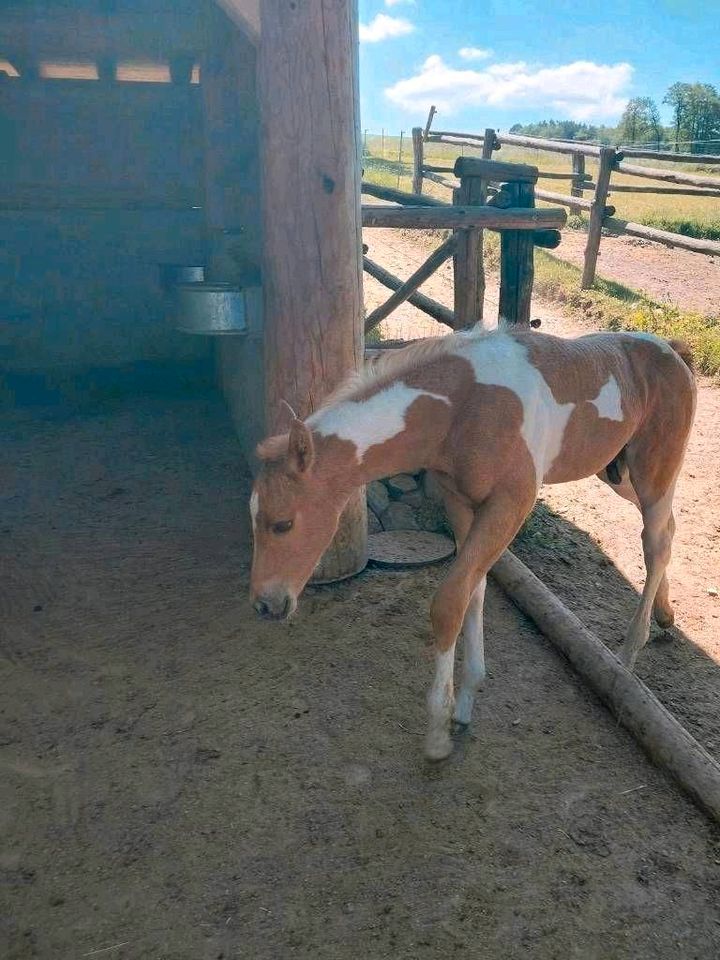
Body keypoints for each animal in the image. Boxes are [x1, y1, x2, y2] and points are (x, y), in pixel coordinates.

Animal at [250, 330, 696, 756]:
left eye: (283, 523)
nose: (265, 605)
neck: (463, 408)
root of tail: (671, 350)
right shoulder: (462, 502)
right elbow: (473, 590)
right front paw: (465, 703)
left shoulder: (511, 503)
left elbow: (450, 601)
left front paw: (438, 731)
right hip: (617, 474)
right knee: (667, 530)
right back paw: (665, 614)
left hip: (653, 474)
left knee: (655, 541)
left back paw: (628, 652)